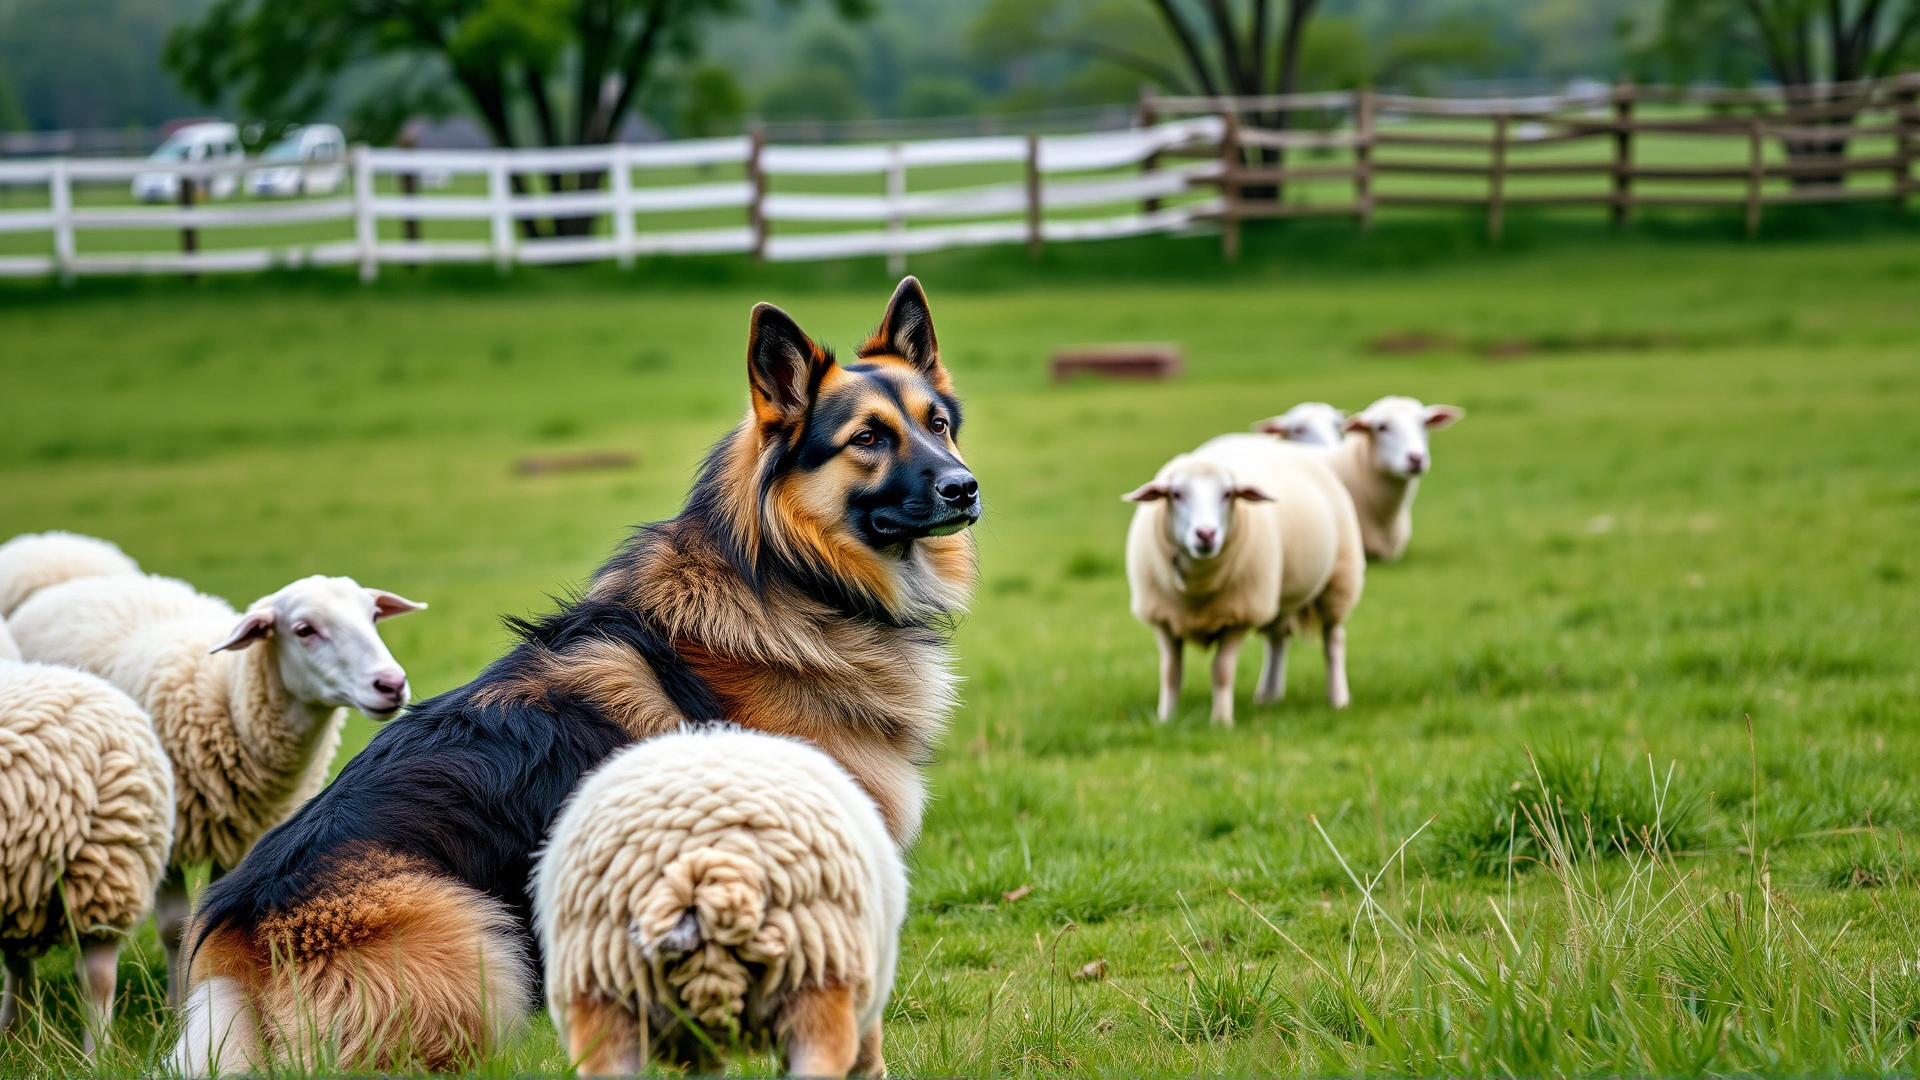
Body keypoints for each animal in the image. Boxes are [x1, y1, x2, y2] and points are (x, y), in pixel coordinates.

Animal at [0, 618, 175, 1057]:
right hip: (29, 881)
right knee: (18, 957)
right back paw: (13, 1033)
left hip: (107, 864)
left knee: (96, 975)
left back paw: (95, 1057)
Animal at [7, 572, 424, 1002]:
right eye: (304, 630)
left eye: (373, 616)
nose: (391, 684)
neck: (227, 696)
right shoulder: (168, 837)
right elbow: (174, 927)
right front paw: (177, 1003)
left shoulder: (239, 835)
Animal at [1125, 434, 1365, 724]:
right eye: (1176, 494)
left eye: (1228, 494)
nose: (1206, 534)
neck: (1198, 586)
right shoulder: (1163, 618)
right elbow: (1171, 672)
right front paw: (1166, 719)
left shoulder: (1239, 615)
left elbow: (1222, 670)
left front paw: (1221, 721)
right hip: (1277, 595)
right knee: (1278, 639)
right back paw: (1268, 696)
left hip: (1338, 580)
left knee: (1334, 640)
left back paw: (1338, 698)